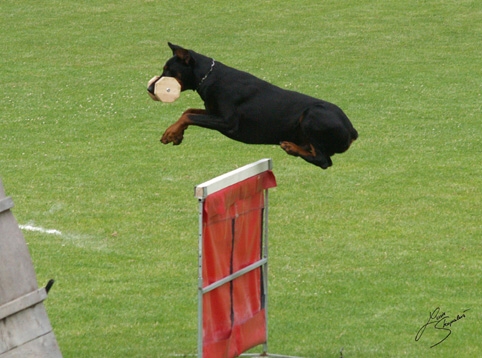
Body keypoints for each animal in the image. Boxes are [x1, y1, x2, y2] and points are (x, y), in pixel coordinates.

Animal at [148, 42, 358, 169]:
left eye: (168, 70)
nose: (150, 88)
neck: (209, 77)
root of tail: (352, 131)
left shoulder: (228, 122)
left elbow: (189, 115)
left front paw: (170, 133)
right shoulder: (212, 111)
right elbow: (189, 111)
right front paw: (177, 134)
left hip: (312, 115)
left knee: (323, 160)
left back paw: (291, 147)